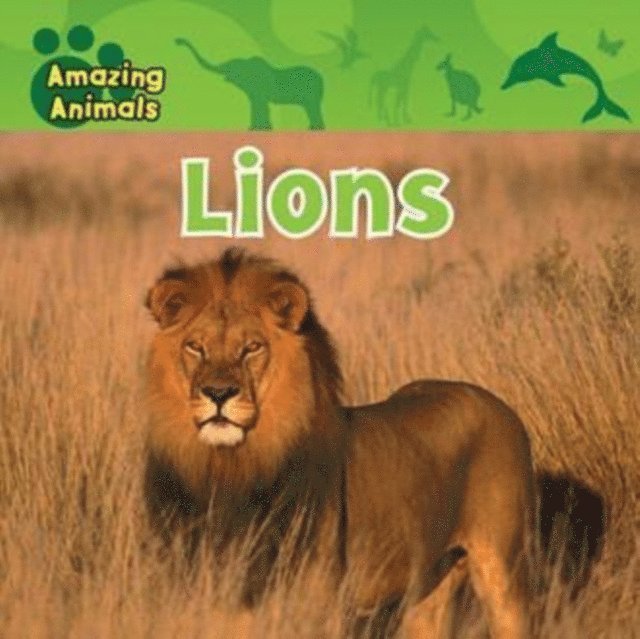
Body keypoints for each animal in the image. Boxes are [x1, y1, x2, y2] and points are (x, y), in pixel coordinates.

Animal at [143, 248, 534, 639]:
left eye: (251, 348)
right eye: (195, 347)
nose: (218, 393)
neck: (231, 468)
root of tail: (497, 404)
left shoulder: (316, 604)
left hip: (503, 574)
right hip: (429, 587)